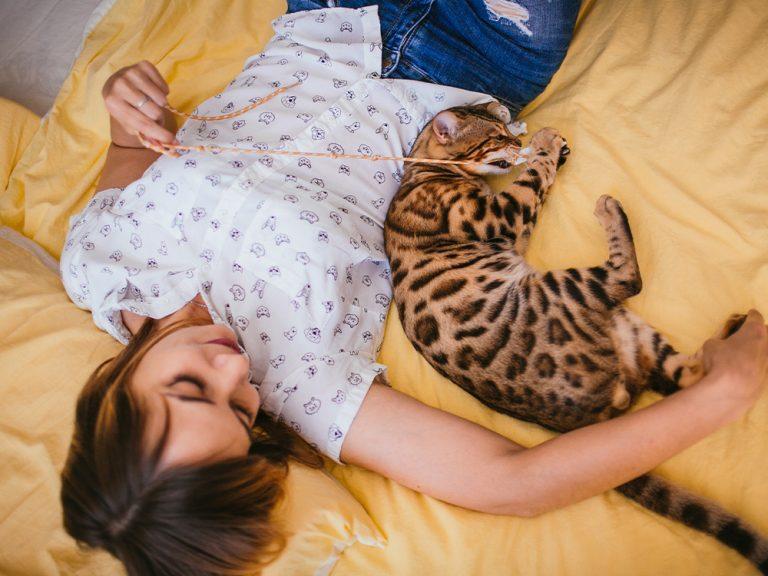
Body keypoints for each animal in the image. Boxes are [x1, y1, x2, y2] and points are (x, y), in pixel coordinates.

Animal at [384, 101, 768, 572]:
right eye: (496, 138)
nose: (517, 141)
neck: (424, 171)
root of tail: (596, 418)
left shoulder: (512, 226)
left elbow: (539, 182)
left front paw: (553, 149)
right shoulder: (498, 215)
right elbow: (532, 180)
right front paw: (547, 143)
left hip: (634, 331)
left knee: (691, 376)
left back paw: (732, 332)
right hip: (567, 287)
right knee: (628, 280)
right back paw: (610, 210)